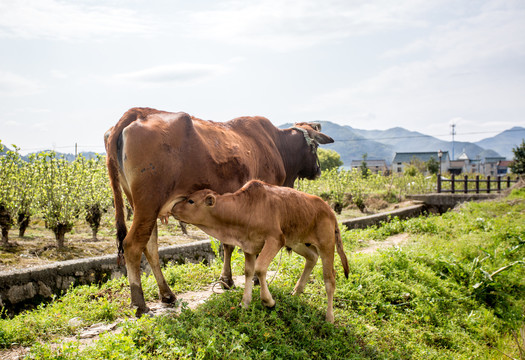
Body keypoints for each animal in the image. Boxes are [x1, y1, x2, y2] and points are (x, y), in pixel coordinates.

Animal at [103, 107, 332, 316]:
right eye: (315, 146)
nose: (318, 170)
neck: (276, 144)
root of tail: (137, 112)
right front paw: (253, 280)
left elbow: (228, 245)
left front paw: (226, 280)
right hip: (148, 204)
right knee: (132, 246)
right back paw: (139, 304)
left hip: (142, 207)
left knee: (150, 247)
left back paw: (167, 294)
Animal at [171, 180, 348, 324]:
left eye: (191, 201)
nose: (173, 208)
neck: (245, 208)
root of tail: (328, 209)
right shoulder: (249, 245)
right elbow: (249, 271)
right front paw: (245, 302)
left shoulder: (275, 239)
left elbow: (260, 268)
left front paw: (268, 301)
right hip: (297, 241)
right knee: (312, 257)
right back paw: (297, 292)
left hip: (326, 244)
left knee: (329, 279)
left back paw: (329, 317)